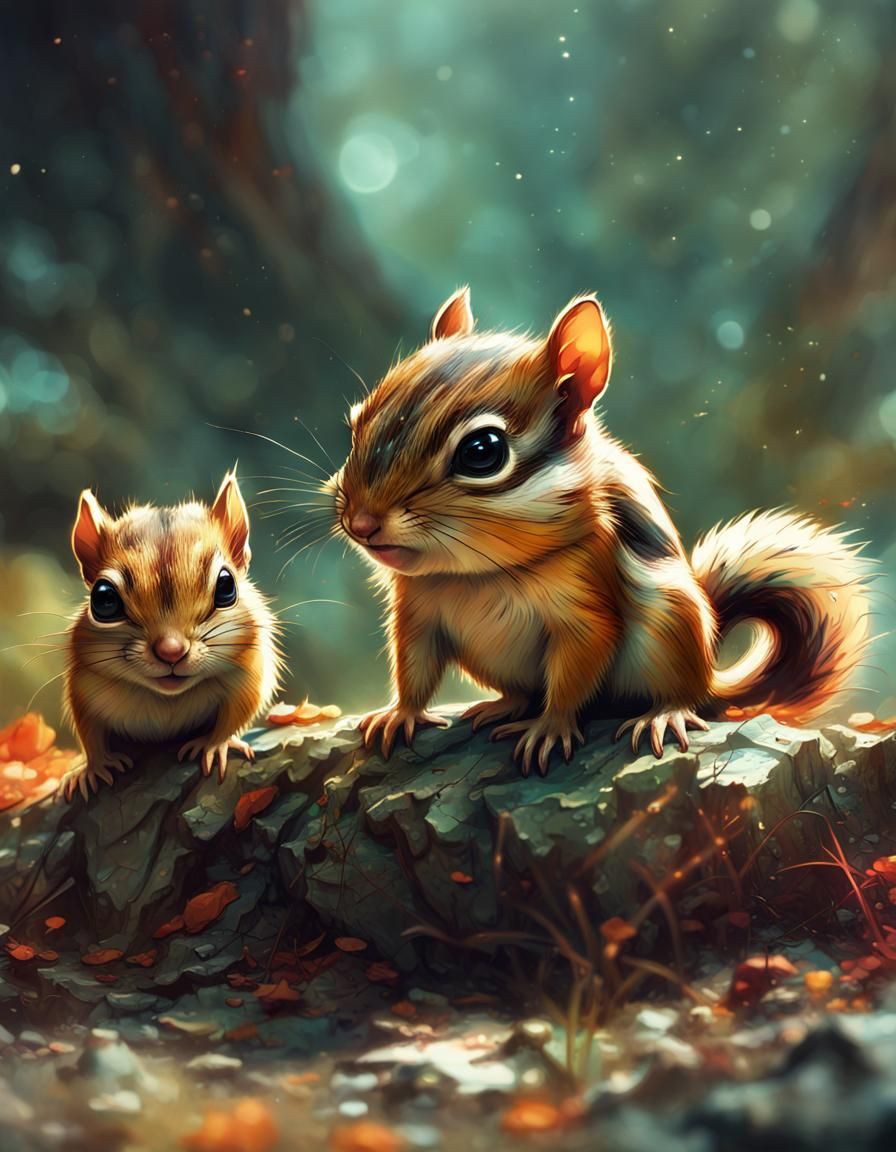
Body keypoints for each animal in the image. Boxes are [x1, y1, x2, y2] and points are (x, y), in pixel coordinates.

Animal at [61, 470, 282, 800]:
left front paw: (214, 745)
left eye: (226, 585)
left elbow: (235, 716)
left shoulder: (249, 673)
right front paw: (93, 768)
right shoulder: (84, 686)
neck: (167, 700)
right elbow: (90, 732)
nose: (171, 651)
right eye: (103, 598)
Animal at [328, 287, 871, 776]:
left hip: (671, 624)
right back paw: (503, 705)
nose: (361, 523)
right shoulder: (417, 613)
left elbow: (573, 675)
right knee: (524, 691)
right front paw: (399, 715)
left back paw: (662, 714)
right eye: (357, 422)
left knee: (681, 695)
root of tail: (711, 673)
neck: (477, 573)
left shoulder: (586, 608)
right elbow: (413, 668)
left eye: (482, 451)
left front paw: (550, 728)